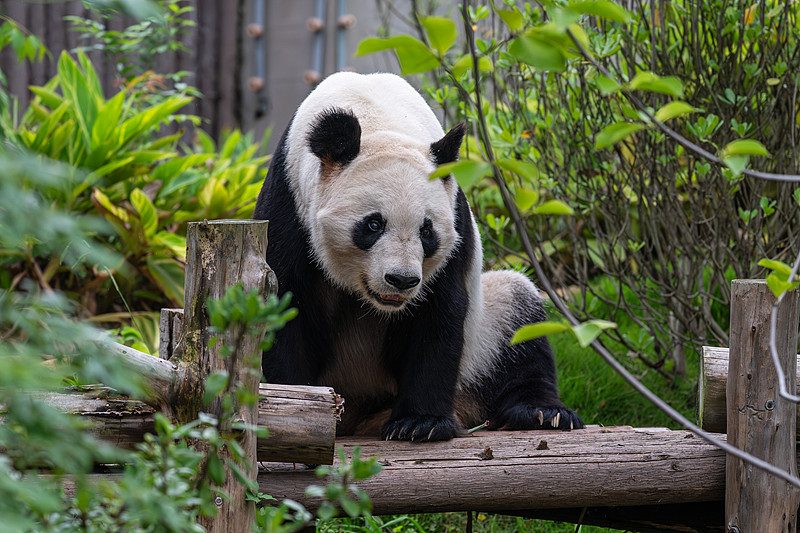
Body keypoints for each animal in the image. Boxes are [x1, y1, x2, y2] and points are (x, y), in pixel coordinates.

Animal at [254, 71, 583, 441]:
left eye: (427, 231)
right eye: (373, 224)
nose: (401, 280)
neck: (378, 116)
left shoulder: (454, 221)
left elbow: (438, 310)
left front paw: (420, 423)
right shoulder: (290, 206)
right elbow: (286, 305)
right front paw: (300, 408)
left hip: (481, 344)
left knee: (519, 317)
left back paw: (543, 412)